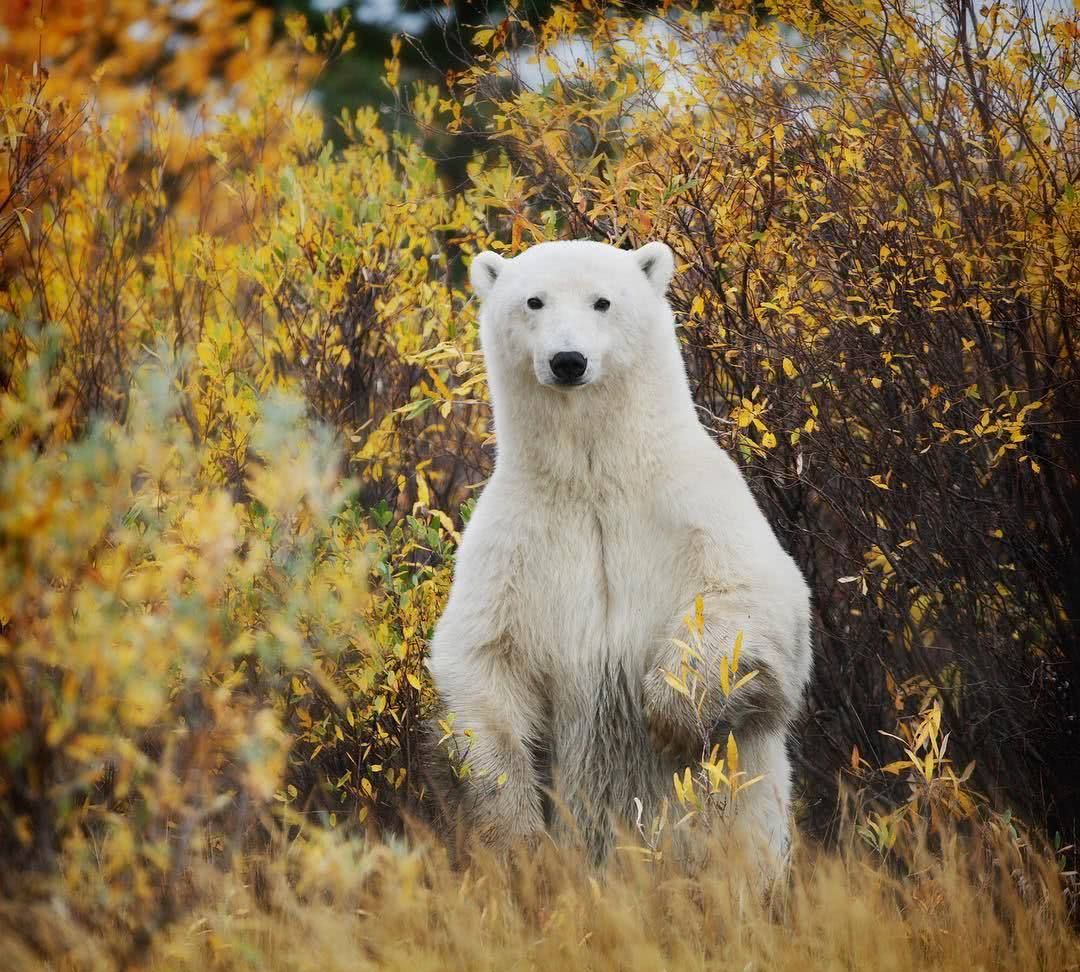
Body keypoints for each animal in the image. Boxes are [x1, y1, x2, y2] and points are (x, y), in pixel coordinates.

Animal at [425, 238, 812, 868]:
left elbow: (749, 598)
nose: (568, 360)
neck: (595, 476)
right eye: (533, 300)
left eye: (602, 301)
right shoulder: (514, 542)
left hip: (743, 824)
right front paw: (515, 837)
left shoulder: (692, 505)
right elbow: (486, 661)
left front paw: (668, 713)